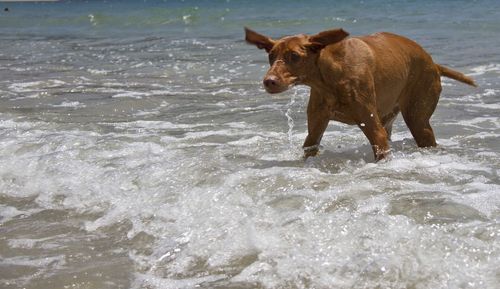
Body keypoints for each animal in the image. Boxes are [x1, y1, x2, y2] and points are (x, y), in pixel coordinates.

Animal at [245, 27, 476, 161]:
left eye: (294, 56)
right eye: (271, 55)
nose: (269, 81)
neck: (329, 78)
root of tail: (433, 63)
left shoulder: (374, 130)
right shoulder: (315, 129)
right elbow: (310, 146)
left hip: (419, 121)